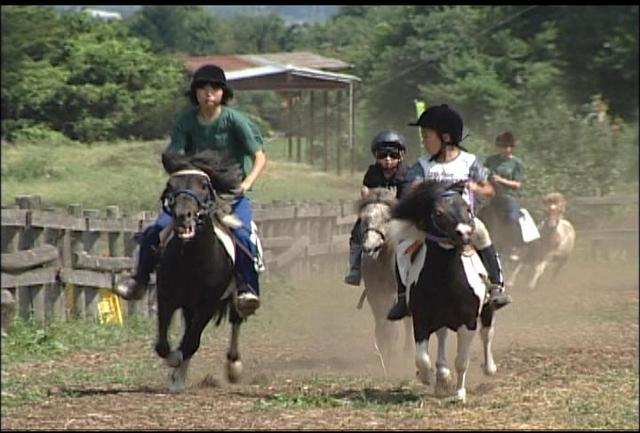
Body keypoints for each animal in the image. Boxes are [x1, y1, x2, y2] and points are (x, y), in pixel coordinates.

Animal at [154, 149, 246, 392]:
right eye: (170, 185)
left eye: (204, 185)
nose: (183, 215)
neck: (191, 261)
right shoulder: (167, 297)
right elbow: (163, 345)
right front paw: (175, 370)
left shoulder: (208, 305)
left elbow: (190, 343)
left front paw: (176, 369)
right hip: (188, 306)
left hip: (232, 299)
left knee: (236, 320)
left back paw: (233, 366)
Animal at [358, 186, 412, 374]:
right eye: (362, 218)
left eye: (387, 219)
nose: (369, 247)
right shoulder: (375, 295)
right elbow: (382, 325)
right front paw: (383, 353)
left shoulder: (395, 296)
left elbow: (391, 328)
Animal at [388, 179, 498, 402]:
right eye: (438, 212)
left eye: (467, 208)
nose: (465, 233)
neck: (445, 281)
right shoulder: (421, 320)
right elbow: (422, 357)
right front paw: (430, 377)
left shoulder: (468, 324)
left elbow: (462, 361)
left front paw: (459, 393)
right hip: (440, 320)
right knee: (442, 336)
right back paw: (441, 374)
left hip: (487, 309)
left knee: (487, 334)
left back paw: (489, 367)